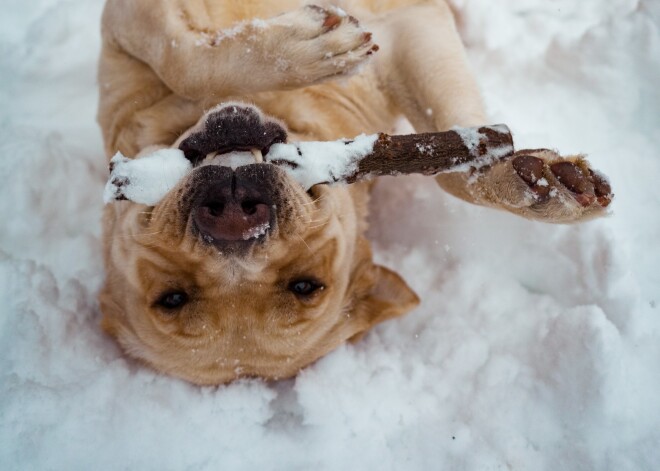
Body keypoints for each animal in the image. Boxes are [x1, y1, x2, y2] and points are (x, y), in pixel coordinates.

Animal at [96, 0, 608, 386]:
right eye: (172, 297)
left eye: (305, 285)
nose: (236, 219)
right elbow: (185, 60)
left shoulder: (409, 33)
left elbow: (181, 59)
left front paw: (534, 184)